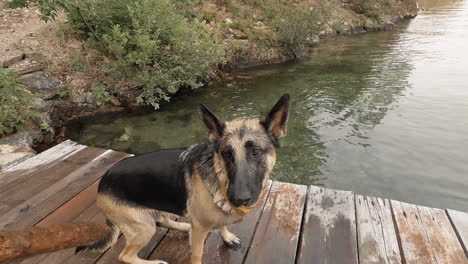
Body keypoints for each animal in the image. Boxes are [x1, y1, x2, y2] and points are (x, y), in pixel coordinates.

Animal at [75, 94, 290, 262]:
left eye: (255, 152)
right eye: (226, 154)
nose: (238, 199)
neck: (219, 175)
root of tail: (103, 182)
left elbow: (221, 224)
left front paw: (226, 235)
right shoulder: (200, 232)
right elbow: (197, 255)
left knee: (163, 221)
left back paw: (184, 226)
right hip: (144, 227)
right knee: (125, 256)